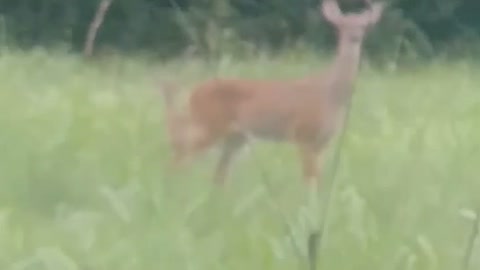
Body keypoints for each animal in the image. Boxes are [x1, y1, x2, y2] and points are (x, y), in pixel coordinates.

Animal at [159, 0, 384, 187]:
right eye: (341, 26)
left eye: (364, 26)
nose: (355, 37)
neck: (330, 95)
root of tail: (193, 93)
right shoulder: (303, 134)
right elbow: (309, 179)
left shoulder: (323, 143)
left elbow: (317, 180)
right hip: (211, 125)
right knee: (180, 154)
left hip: (235, 137)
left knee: (218, 174)